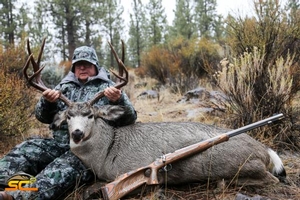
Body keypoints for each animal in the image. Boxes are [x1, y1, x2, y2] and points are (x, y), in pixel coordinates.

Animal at [24, 39, 286, 192]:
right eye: (68, 116)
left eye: (91, 115)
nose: (77, 134)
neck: (107, 150)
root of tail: (266, 151)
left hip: (241, 164)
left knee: (271, 180)